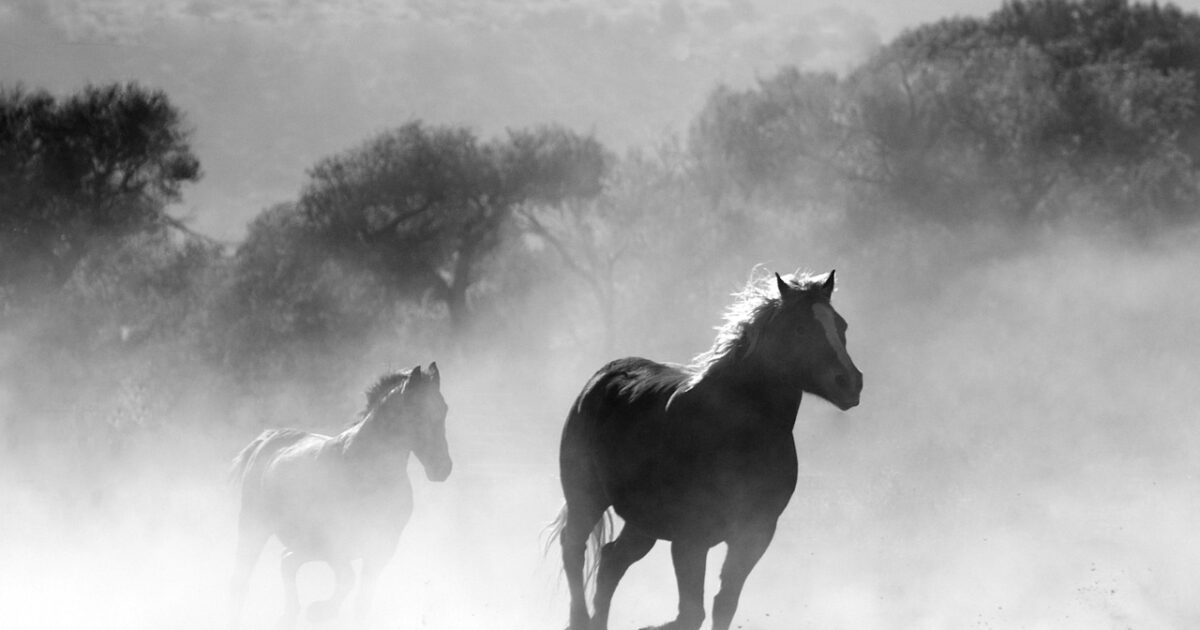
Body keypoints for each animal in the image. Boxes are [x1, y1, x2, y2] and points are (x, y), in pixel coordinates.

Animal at [228, 363, 452, 629]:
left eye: (444, 409)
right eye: (417, 412)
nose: (443, 468)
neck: (368, 471)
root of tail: (267, 439)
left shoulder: (380, 551)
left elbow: (362, 603)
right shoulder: (334, 544)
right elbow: (347, 579)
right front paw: (319, 611)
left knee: (287, 561)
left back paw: (290, 614)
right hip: (254, 527)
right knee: (243, 579)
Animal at [553, 269, 862, 630]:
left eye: (842, 326)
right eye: (800, 328)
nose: (851, 383)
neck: (737, 433)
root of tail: (602, 377)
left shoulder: (755, 534)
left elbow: (723, 604)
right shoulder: (690, 539)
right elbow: (691, 613)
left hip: (643, 522)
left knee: (611, 561)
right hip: (586, 498)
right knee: (574, 550)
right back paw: (579, 618)